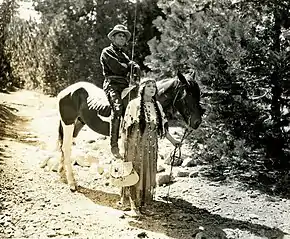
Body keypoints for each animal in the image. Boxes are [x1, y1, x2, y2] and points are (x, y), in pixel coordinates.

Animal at [56, 70, 202, 190]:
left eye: (198, 94)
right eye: (188, 94)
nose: (197, 122)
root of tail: (66, 92)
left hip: (78, 124)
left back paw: (63, 175)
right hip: (68, 123)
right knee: (66, 148)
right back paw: (72, 183)